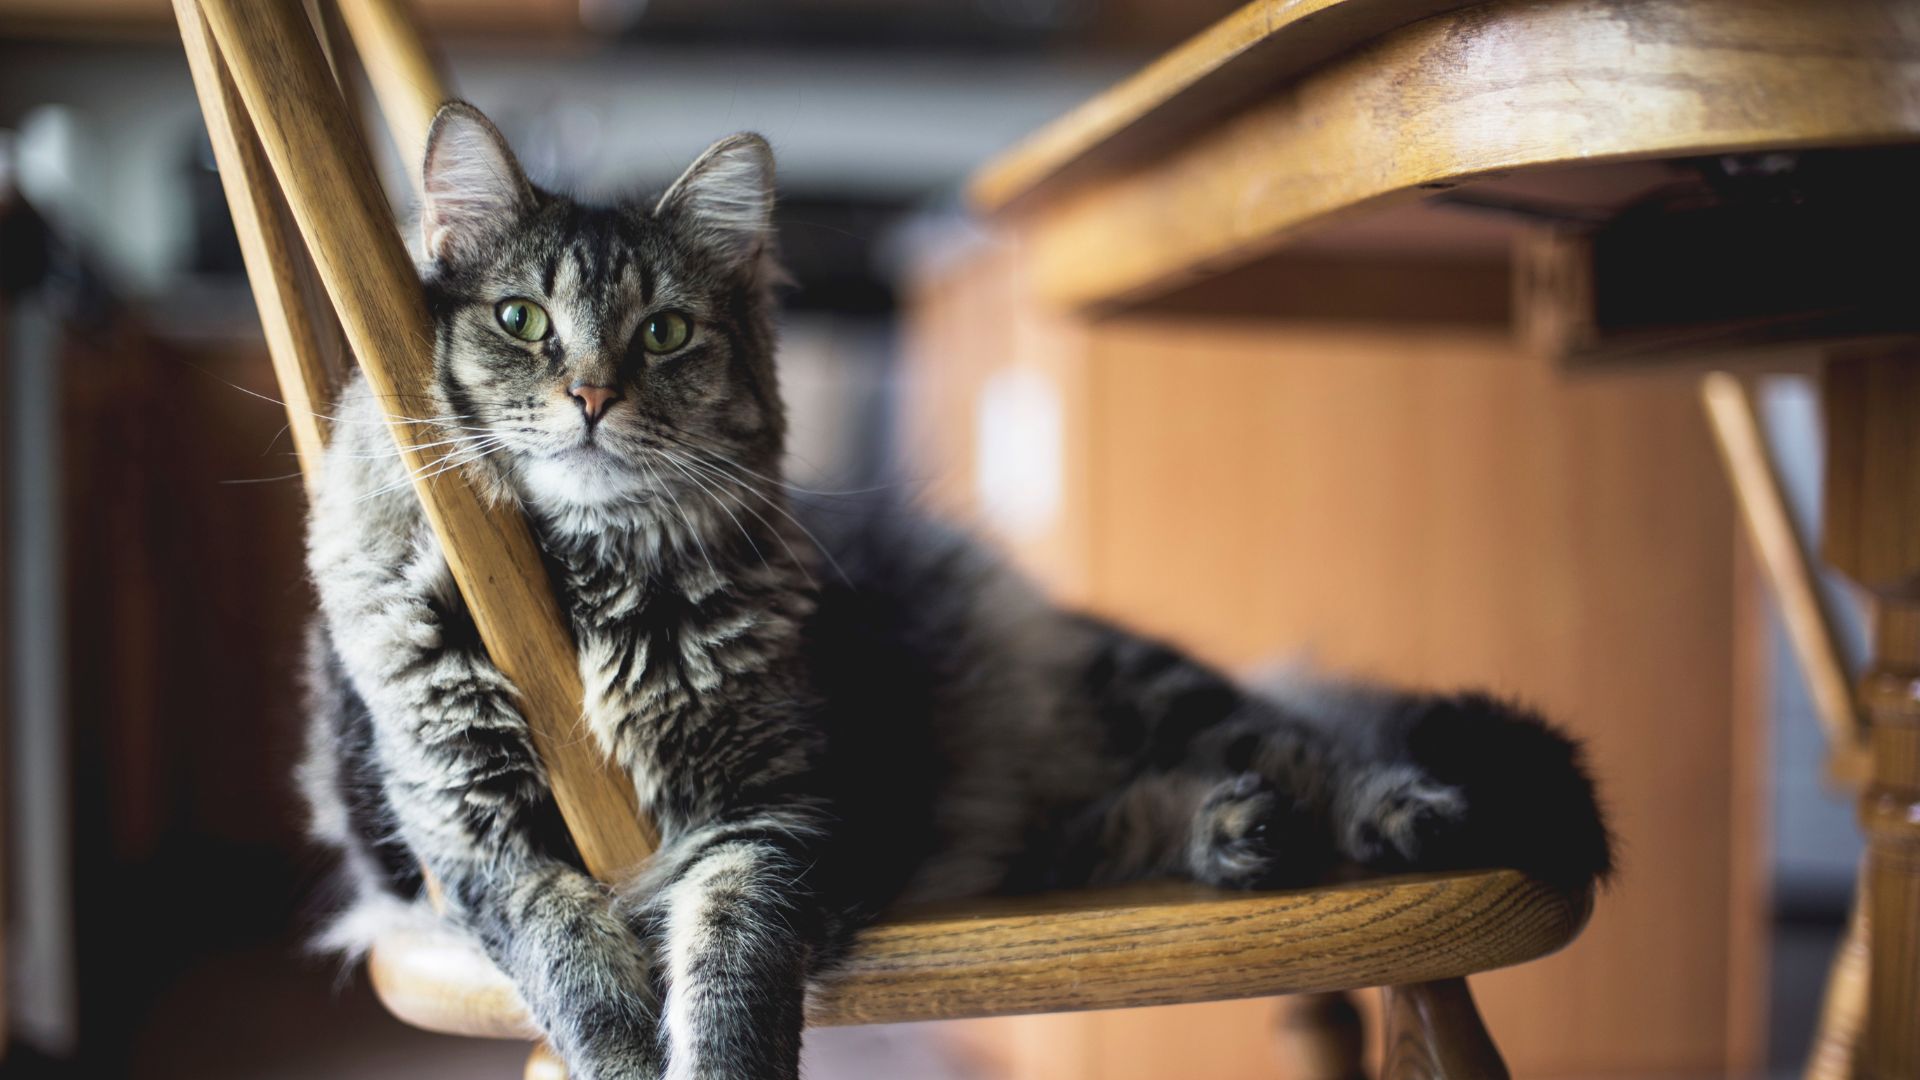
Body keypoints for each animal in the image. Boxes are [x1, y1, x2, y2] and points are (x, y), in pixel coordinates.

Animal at [303, 100, 1620, 1076]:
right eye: (522, 318)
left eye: (666, 333)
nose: (589, 397)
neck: (585, 583)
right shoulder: (470, 834)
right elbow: (571, 960)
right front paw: (626, 1050)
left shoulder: (776, 817)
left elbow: (730, 972)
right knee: (1126, 816)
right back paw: (1233, 833)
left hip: (1146, 690)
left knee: (1308, 743)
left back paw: (1389, 813)